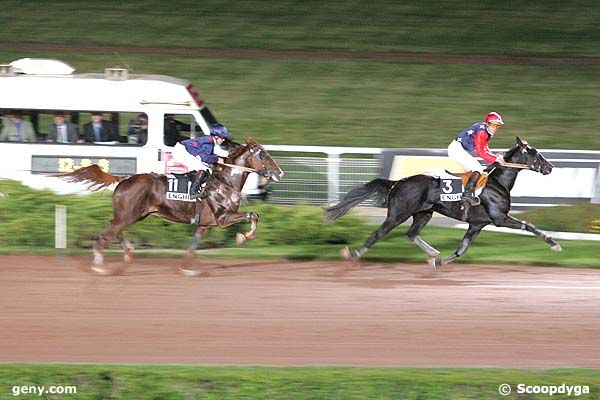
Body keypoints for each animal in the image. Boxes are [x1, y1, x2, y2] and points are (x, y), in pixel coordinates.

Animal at [61, 138, 284, 276]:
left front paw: (186, 269)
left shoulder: (205, 225)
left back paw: (128, 253)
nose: (279, 172)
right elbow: (253, 215)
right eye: (263, 155)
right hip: (128, 215)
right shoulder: (223, 218)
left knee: (113, 227)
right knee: (104, 235)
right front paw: (243, 237)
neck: (226, 182)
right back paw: (99, 268)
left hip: (132, 215)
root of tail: (123, 180)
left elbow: (192, 248)